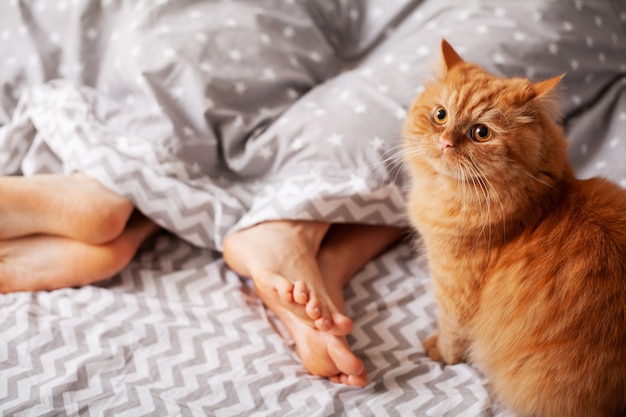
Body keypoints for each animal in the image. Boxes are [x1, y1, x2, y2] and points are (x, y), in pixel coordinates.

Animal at [402, 39, 624, 416]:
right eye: (440, 115)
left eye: (481, 133)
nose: (445, 142)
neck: (542, 204)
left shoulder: (455, 289)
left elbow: (451, 334)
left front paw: (439, 352)